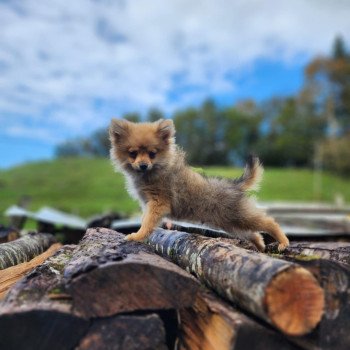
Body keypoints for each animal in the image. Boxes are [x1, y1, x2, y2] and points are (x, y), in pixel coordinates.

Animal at [110, 118, 290, 252]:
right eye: (133, 153)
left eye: (152, 153)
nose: (143, 165)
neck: (152, 172)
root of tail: (234, 186)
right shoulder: (148, 204)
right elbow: (145, 219)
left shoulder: (158, 203)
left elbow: (147, 222)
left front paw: (137, 236)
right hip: (232, 224)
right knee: (255, 234)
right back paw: (261, 247)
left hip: (240, 216)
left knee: (269, 222)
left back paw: (283, 242)